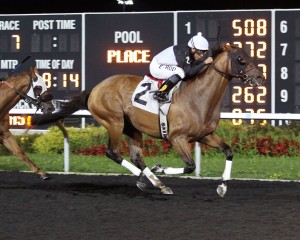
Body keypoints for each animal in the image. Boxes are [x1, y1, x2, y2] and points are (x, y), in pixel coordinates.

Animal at [31, 45, 264, 197]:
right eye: (241, 59)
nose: (261, 77)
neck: (198, 97)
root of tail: (95, 88)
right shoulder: (177, 138)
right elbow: (190, 166)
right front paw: (160, 168)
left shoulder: (205, 135)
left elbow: (229, 151)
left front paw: (223, 187)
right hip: (114, 122)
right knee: (112, 152)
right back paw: (146, 178)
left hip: (132, 128)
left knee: (137, 158)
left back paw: (155, 182)